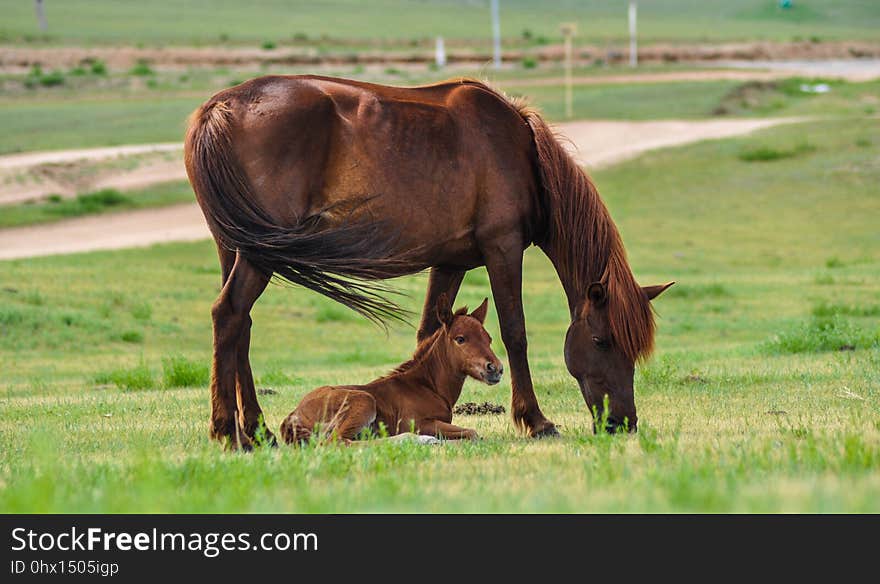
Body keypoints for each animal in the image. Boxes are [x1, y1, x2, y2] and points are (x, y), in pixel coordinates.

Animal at [282, 294, 502, 444]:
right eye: (460, 339)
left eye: (489, 339)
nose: (496, 368)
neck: (428, 386)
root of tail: (294, 415)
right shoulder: (418, 422)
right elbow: (472, 433)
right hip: (364, 401)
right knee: (338, 442)